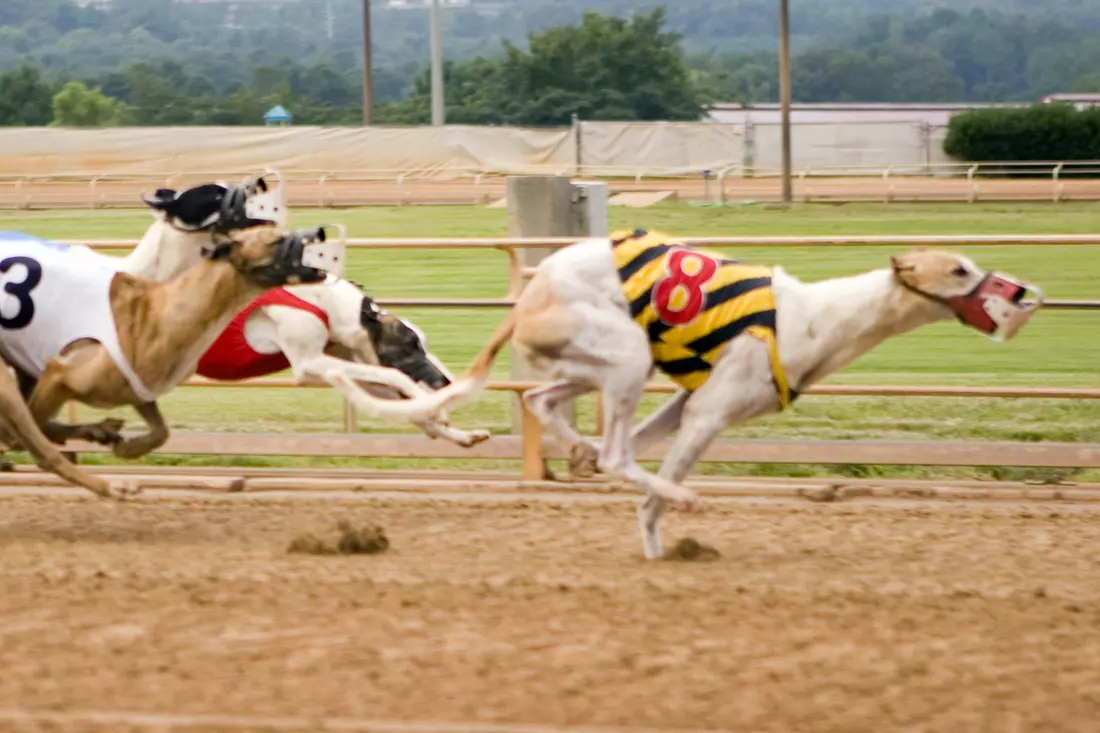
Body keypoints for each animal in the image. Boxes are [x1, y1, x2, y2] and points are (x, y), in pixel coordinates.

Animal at [0, 225, 327, 493]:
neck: (161, 313)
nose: (321, 233)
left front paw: (127, 446)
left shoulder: (139, 388)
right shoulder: (59, 373)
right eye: (277, 239)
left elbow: (161, 432)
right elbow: (27, 432)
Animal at [365, 231, 1042, 556]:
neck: (820, 317)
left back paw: (579, 448)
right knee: (613, 451)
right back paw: (674, 492)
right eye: (958, 269)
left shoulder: (687, 403)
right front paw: (667, 523)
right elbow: (643, 478)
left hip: (600, 364)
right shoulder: (710, 412)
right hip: (626, 354)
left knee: (545, 403)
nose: (1021, 294)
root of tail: (529, 292)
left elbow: (638, 466)